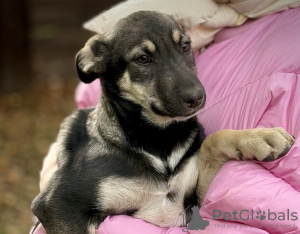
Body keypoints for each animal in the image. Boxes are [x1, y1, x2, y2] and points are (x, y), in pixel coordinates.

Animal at [31, 11, 294, 234]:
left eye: (185, 46)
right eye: (143, 59)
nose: (197, 97)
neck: (158, 138)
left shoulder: (191, 208)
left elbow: (212, 141)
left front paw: (260, 137)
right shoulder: (59, 204)